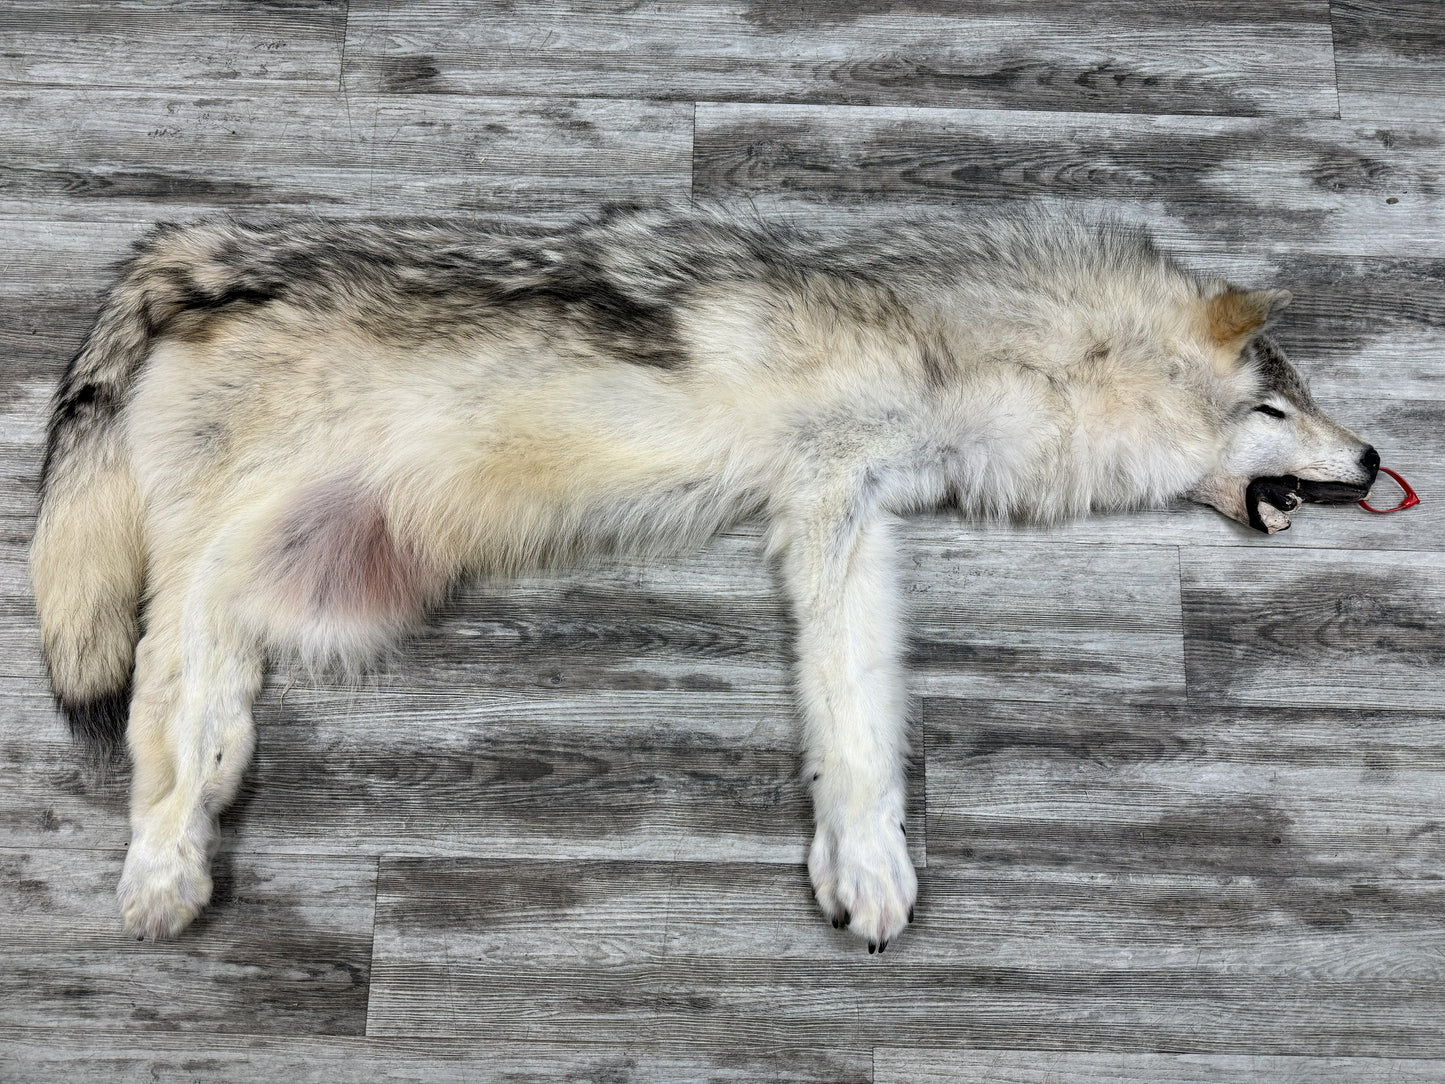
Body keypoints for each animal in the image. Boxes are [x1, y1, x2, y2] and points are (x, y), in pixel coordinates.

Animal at [31, 205, 1379, 951]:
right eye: (1274, 405)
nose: (1372, 460)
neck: (951, 345)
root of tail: (198, 262)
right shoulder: (827, 503)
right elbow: (850, 723)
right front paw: (868, 863)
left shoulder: (849, 512)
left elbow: (859, 709)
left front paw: (858, 858)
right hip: (216, 570)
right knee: (158, 708)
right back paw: (163, 867)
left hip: (293, 580)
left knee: (199, 717)